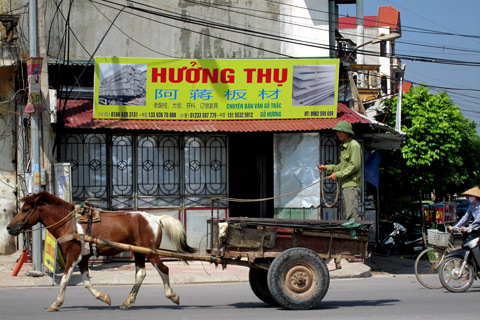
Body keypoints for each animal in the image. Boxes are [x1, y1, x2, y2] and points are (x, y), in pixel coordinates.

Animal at [5, 191, 195, 312]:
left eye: (25, 209)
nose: (9, 228)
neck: (68, 222)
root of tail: (155, 218)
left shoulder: (72, 256)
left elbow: (64, 280)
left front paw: (56, 304)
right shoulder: (82, 258)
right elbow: (86, 282)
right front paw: (103, 297)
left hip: (150, 252)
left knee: (164, 269)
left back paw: (172, 296)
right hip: (139, 252)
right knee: (140, 274)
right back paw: (127, 302)